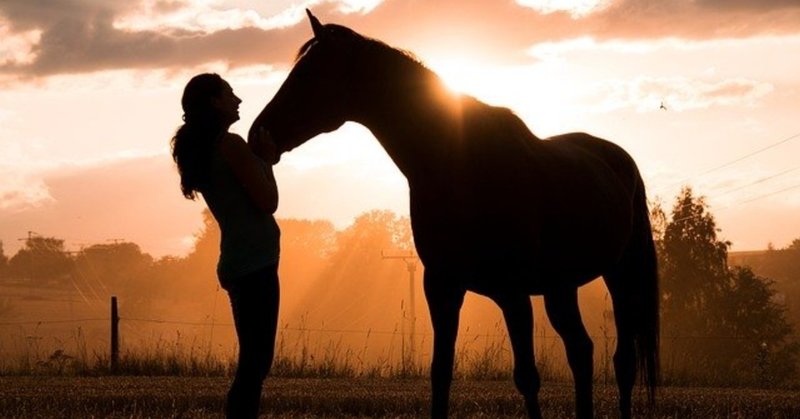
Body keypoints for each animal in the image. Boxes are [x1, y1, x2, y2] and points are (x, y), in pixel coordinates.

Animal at [250, 10, 659, 419]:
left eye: (307, 75)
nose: (257, 135)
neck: (461, 165)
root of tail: (616, 158)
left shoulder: (513, 292)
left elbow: (527, 376)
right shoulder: (442, 285)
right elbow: (441, 372)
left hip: (620, 275)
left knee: (621, 361)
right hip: (561, 286)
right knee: (581, 350)